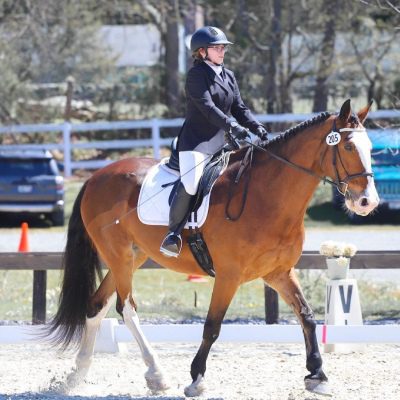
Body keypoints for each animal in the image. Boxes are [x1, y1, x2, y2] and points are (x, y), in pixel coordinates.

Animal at [47, 101, 378, 396]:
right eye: (348, 148)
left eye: (370, 147)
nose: (367, 202)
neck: (267, 196)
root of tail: (95, 176)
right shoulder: (229, 276)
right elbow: (212, 326)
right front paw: (196, 379)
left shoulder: (279, 273)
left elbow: (306, 315)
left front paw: (317, 374)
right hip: (119, 255)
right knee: (126, 308)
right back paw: (156, 374)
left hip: (133, 256)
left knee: (97, 305)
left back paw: (77, 374)